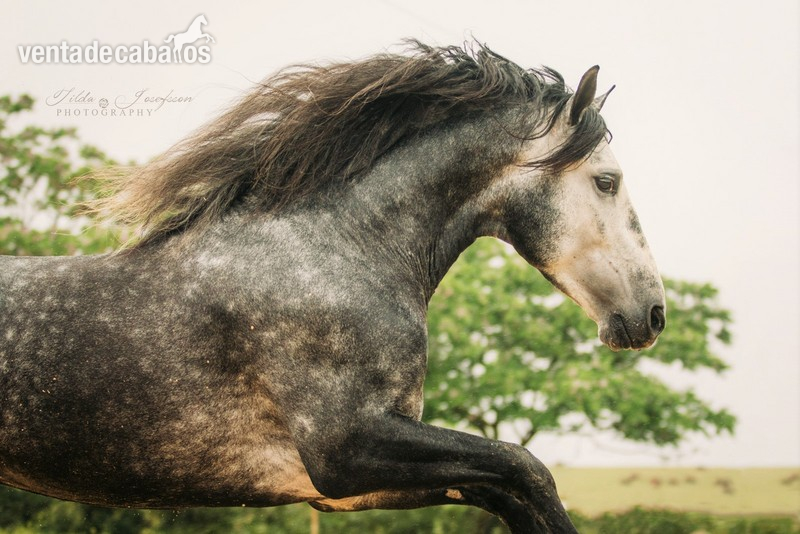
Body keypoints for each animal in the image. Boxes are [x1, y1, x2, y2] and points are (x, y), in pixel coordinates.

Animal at [0, 42, 665, 533]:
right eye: (606, 181)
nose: (654, 314)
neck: (332, 252)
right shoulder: (346, 451)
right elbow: (527, 470)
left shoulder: (340, 488)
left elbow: (505, 487)